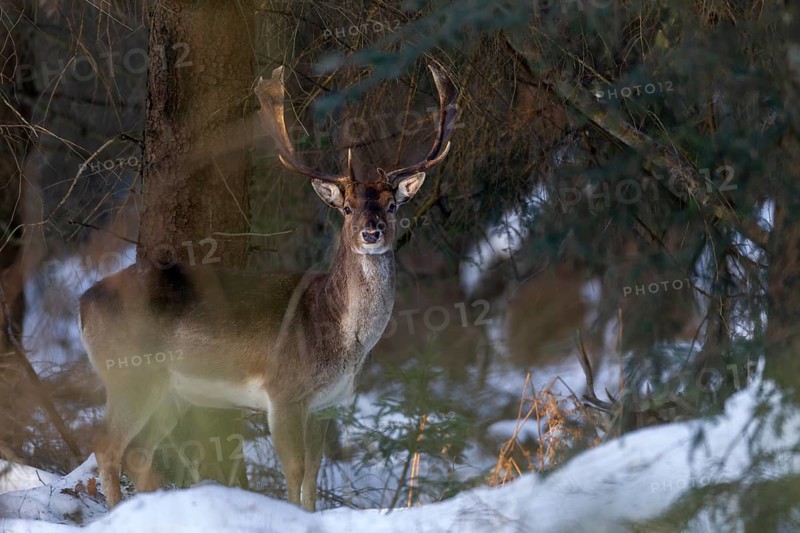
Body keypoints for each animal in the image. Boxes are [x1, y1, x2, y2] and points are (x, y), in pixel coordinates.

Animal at [79, 61, 458, 512]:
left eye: (393, 205)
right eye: (347, 208)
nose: (372, 232)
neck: (341, 338)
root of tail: (83, 302)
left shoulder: (327, 404)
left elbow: (313, 473)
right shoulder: (284, 392)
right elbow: (294, 471)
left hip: (167, 392)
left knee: (137, 452)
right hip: (129, 374)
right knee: (107, 446)